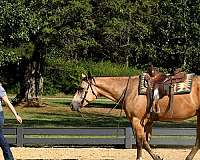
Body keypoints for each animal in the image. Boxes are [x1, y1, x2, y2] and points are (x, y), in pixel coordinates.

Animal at [70, 73, 200, 160]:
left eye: (81, 88)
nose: (72, 105)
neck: (130, 91)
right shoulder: (146, 122)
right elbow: (146, 142)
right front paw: (157, 156)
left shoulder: (136, 120)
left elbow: (139, 141)